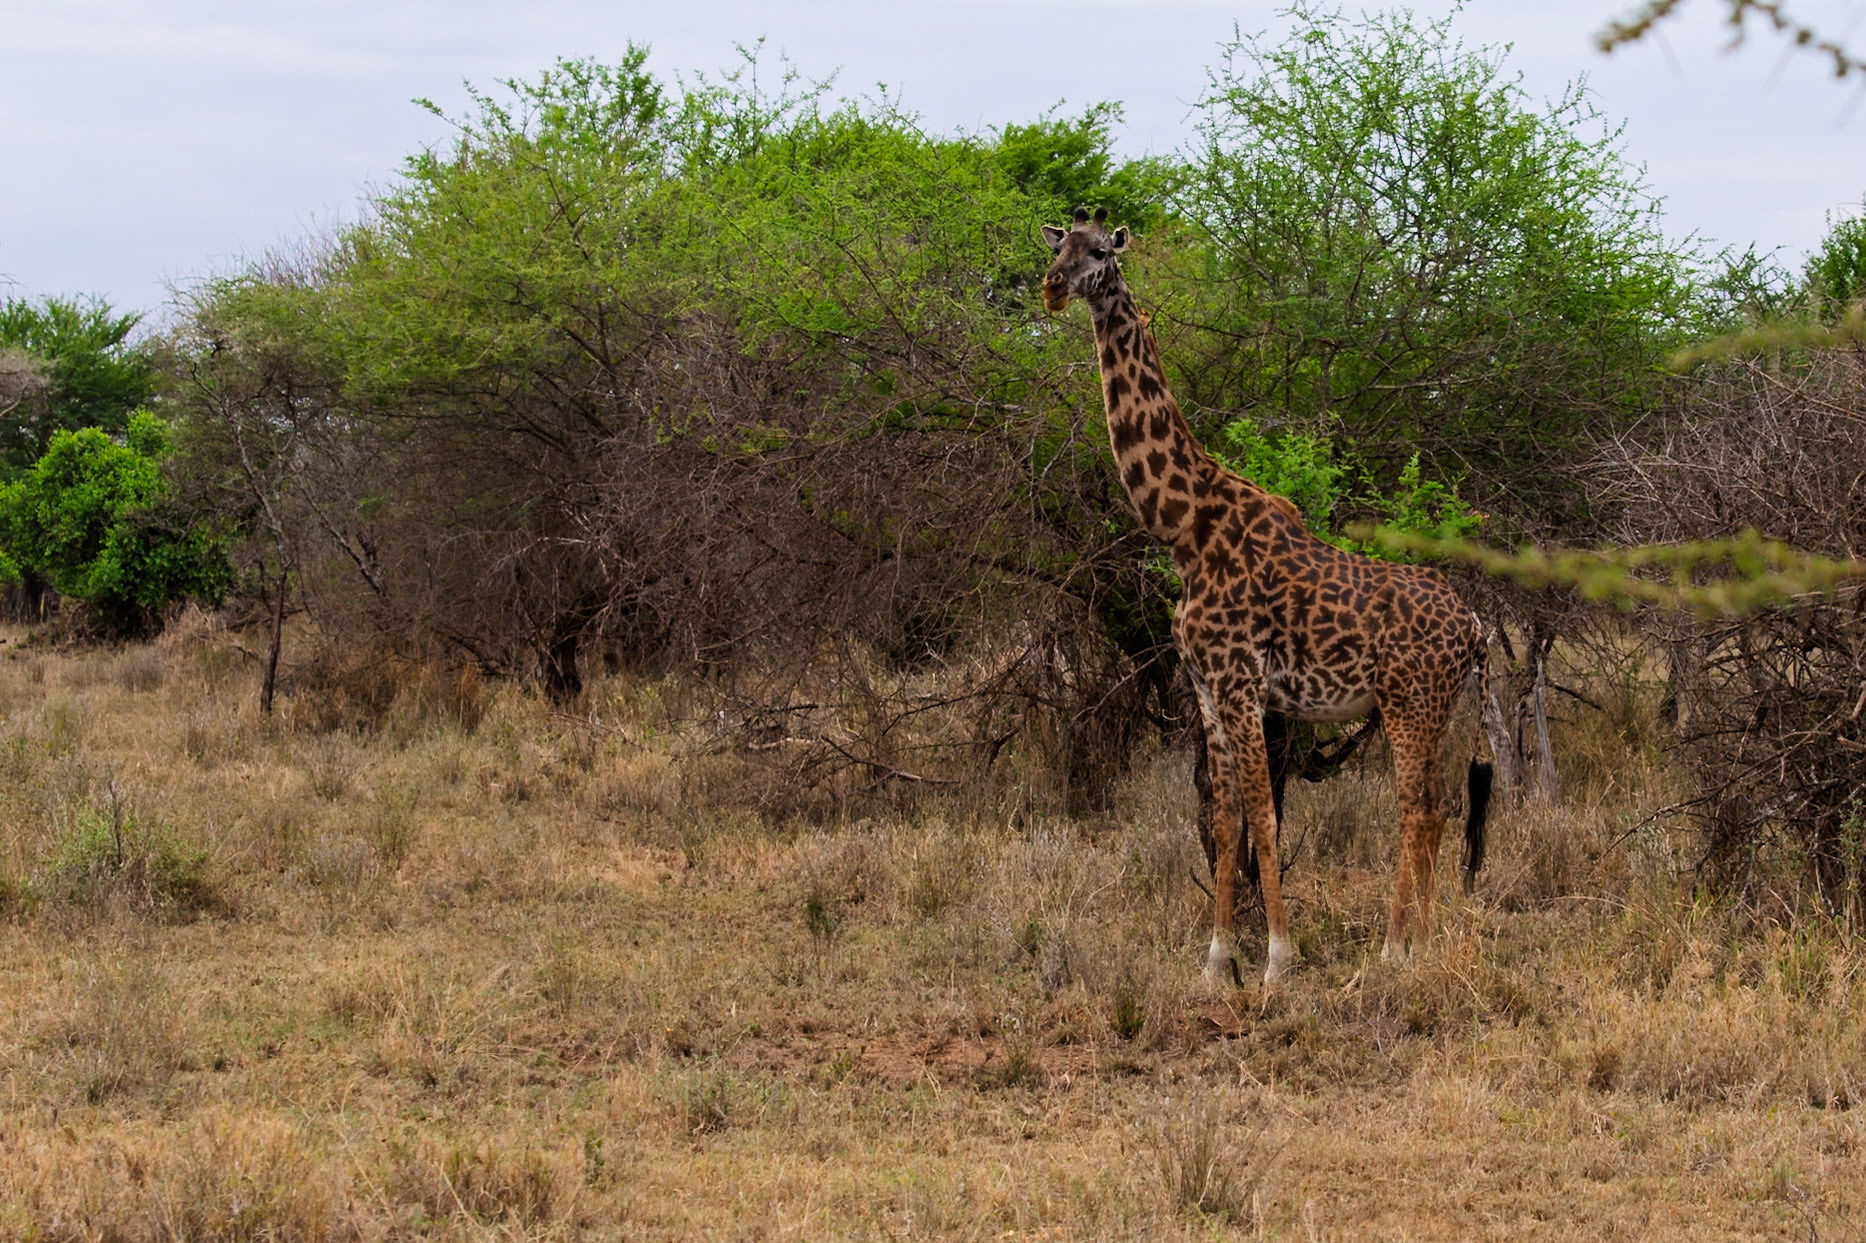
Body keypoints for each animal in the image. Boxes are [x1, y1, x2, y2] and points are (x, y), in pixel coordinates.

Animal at [1041, 208, 1494, 987]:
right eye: (1057, 245)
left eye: (1100, 251)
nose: (1053, 286)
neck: (1185, 528)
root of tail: (1473, 626)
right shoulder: (1206, 688)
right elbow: (1224, 820)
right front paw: (1216, 959)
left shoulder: (1242, 682)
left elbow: (1264, 812)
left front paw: (1279, 961)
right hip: (1433, 707)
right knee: (1436, 808)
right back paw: (1422, 941)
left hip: (1409, 704)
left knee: (1416, 808)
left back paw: (1395, 948)